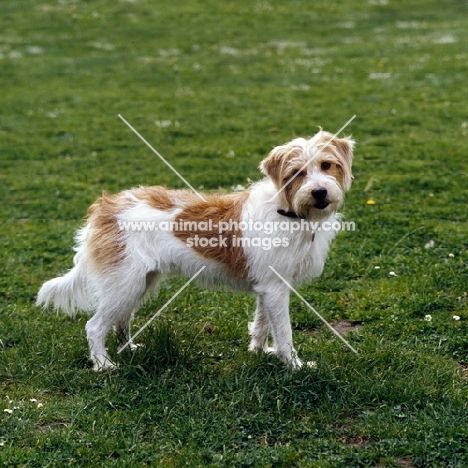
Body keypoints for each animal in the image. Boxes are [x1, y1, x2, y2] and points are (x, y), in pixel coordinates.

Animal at [36, 130, 352, 372]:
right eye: (296, 173)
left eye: (326, 165)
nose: (320, 192)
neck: (288, 211)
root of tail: (105, 208)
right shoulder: (276, 288)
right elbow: (284, 332)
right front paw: (294, 366)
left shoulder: (268, 286)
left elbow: (263, 324)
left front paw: (259, 352)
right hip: (123, 284)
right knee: (95, 325)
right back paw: (103, 365)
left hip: (138, 283)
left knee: (121, 321)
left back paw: (130, 349)